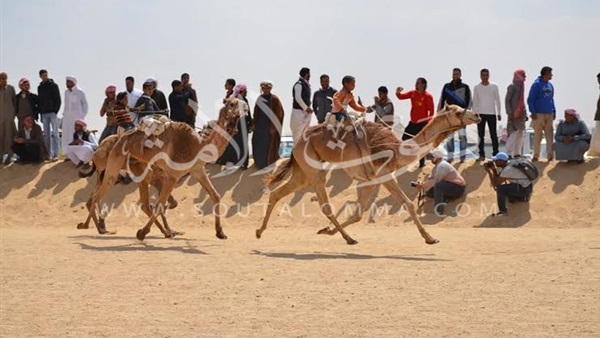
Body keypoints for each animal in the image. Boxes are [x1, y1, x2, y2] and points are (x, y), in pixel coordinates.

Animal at [85, 97, 245, 240]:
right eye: (232, 104)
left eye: (243, 103)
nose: (243, 112)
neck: (197, 145)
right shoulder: (172, 175)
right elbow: (161, 203)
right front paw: (143, 233)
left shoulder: (197, 170)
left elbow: (215, 195)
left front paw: (220, 233)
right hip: (114, 163)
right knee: (97, 195)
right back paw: (93, 226)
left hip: (139, 169)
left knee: (139, 203)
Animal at [256, 104, 482, 244]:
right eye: (457, 111)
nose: (477, 115)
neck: (398, 149)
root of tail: (296, 143)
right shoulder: (384, 175)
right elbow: (409, 204)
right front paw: (430, 238)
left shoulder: (369, 181)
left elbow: (358, 213)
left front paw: (327, 231)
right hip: (313, 169)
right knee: (324, 204)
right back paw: (348, 238)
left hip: (302, 171)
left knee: (277, 192)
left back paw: (259, 232)